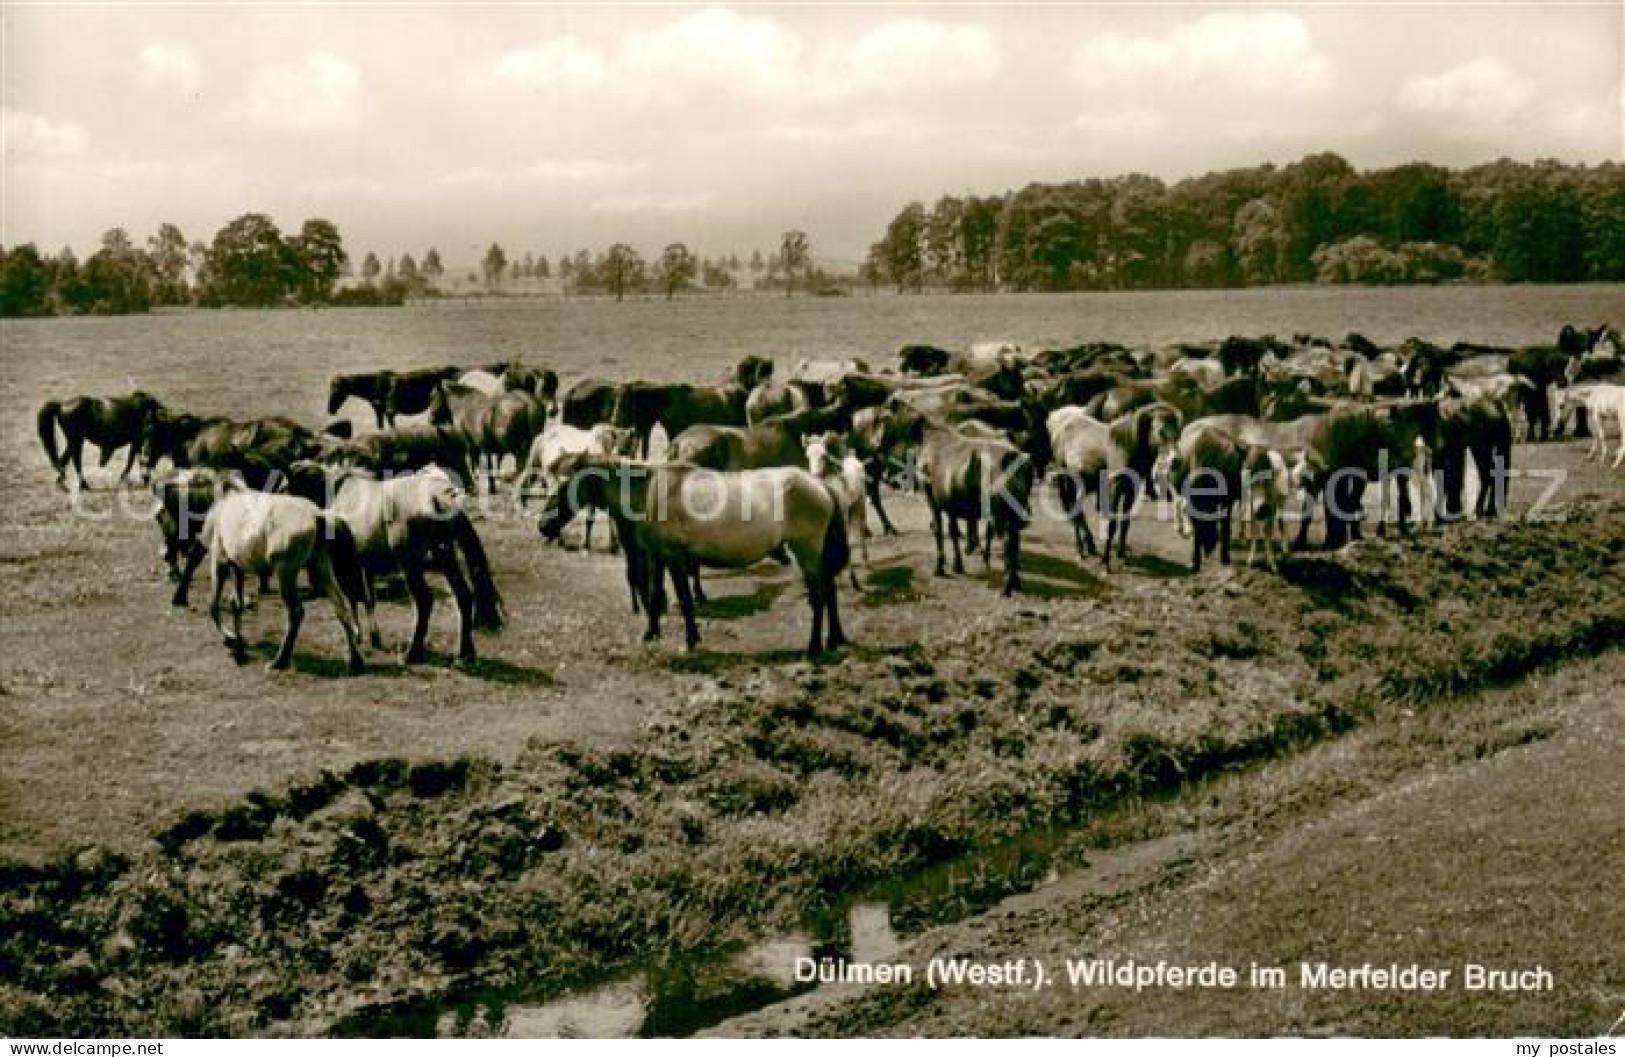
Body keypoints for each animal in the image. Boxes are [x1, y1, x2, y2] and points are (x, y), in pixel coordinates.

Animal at [175, 481, 372, 669]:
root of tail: (318, 515)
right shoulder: (236, 567)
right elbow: (236, 604)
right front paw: (238, 646)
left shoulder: (220, 561)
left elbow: (214, 606)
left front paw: (231, 639)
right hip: (320, 567)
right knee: (340, 607)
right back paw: (355, 661)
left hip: (286, 572)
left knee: (296, 612)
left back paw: (280, 661)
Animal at [282, 461, 503, 656]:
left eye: (288, 485)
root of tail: (439, 496)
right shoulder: (366, 564)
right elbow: (368, 598)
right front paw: (373, 636)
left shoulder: (347, 564)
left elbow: (353, 597)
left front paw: (358, 634)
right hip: (445, 556)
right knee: (463, 595)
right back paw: (465, 652)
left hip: (410, 563)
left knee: (425, 600)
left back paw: (413, 653)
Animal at [542, 455, 858, 653]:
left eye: (565, 486)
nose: (542, 525)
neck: (651, 493)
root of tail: (820, 485)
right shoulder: (657, 556)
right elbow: (655, 594)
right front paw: (651, 633)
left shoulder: (674, 558)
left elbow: (683, 598)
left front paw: (691, 639)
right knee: (829, 589)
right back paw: (834, 638)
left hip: (807, 553)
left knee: (820, 595)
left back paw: (814, 645)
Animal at [1046, 401, 1189, 569]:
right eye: (1160, 431)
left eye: (1178, 433)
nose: (1176, 461)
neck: (1126, 446)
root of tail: (1059, 429)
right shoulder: (1115, 488)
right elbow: (1112, 524)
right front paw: (1106, 563)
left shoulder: (1131, 491)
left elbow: (1125, 523)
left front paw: (1122, 555)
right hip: (1068, 483)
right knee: (1075, 513)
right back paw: (1080, 551)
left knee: (1077, 513)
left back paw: (1090, 547)